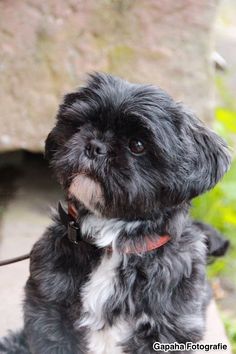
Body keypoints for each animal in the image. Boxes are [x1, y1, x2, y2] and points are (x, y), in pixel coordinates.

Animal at [0, 73, 230, 352]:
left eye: (138, 145)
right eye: (80, 125)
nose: (95, 145)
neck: (112, 242)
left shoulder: (168, 328)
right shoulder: (49, 309)